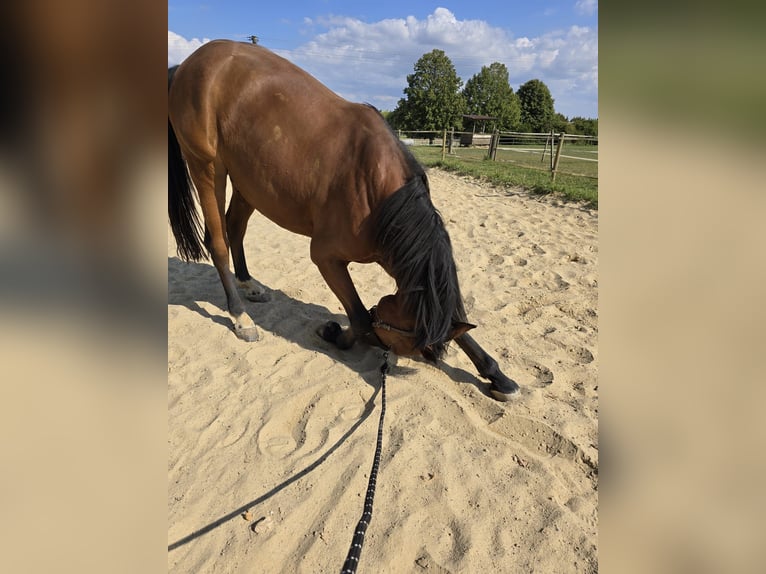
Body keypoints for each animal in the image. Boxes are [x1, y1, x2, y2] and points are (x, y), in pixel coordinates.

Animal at [168, 40, 519, 401]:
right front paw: (336, 332)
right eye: (397, 341)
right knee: (218, 241)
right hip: (208, 167)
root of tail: (188, 64)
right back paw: (240, 316)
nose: (390, 355)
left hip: (248, 182)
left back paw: (249, 285)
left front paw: (497, 375)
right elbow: (361, 319)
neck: (377, 192)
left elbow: (451, 317)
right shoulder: (326, 256)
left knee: (235, 228)